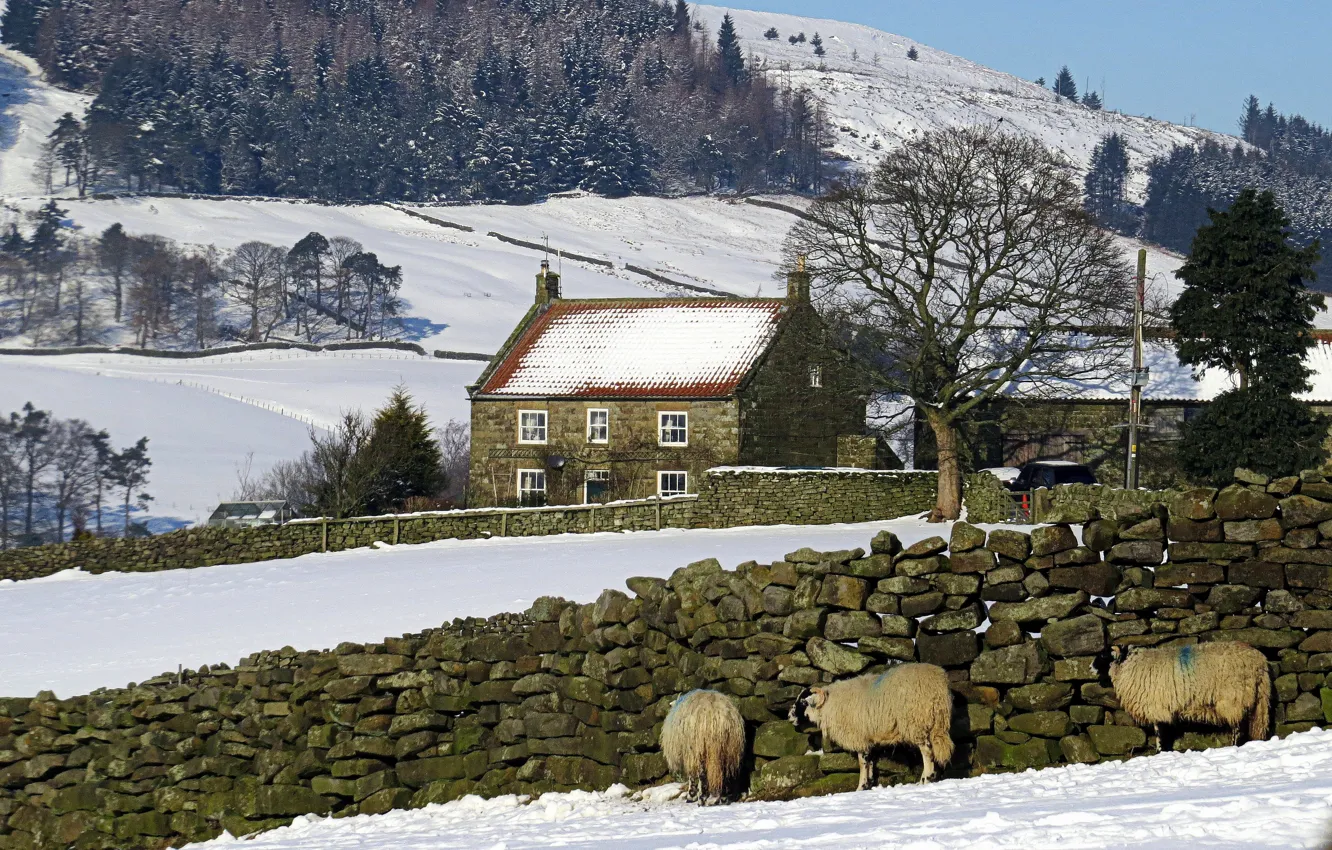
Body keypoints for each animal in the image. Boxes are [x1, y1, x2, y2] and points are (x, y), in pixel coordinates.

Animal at [783, 666, 953, 794]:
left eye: (803, 702)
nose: (789, 716)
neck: (829, 705)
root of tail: (939, 684)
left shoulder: (859, 736)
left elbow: (862, 762)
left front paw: (861, 787)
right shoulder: (868, 738)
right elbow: (869, 761)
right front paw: (869, 783)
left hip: (916, 722)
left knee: (926, 751)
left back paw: (926, 779)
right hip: (935, 725)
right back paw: (928, 778)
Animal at [1102, 642, 1268, 751]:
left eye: (1104, 655)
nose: (1094, 670)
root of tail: (1260, 661)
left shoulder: (1155, 706)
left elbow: (1159, 732)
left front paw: (1159, 751)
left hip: (1234, 699)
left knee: (1237, 727)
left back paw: (1233, 746)